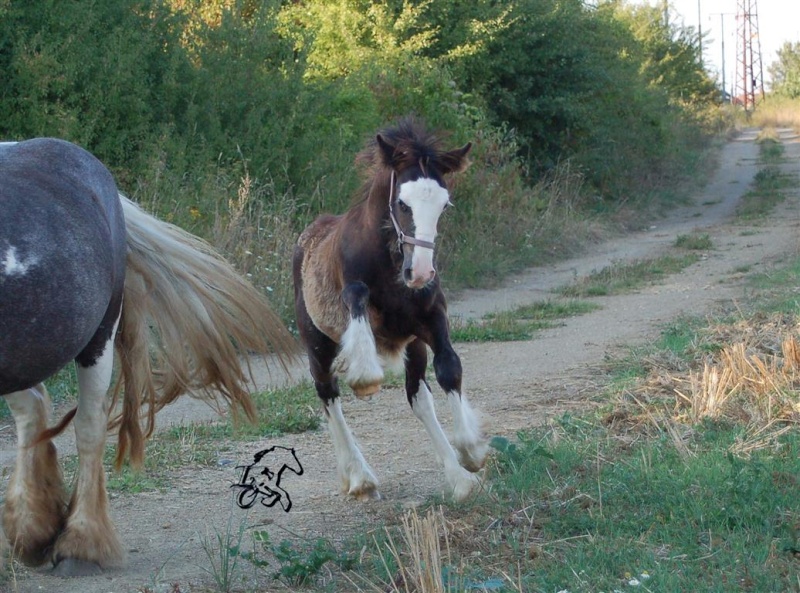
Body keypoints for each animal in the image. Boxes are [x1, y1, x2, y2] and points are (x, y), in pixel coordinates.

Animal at [294, 117, 488, 500]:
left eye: (444, 205)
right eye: (402, 203)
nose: (421, 273)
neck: (391, 267)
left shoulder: (431, 320)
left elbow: (449, 369)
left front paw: (471, 453)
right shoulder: (353, 294)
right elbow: (357, 299)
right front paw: (365, 377)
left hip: (413, 346)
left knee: (418, 397)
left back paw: (457, 478)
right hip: (318, 343)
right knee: (327, 393)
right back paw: (359, 478)